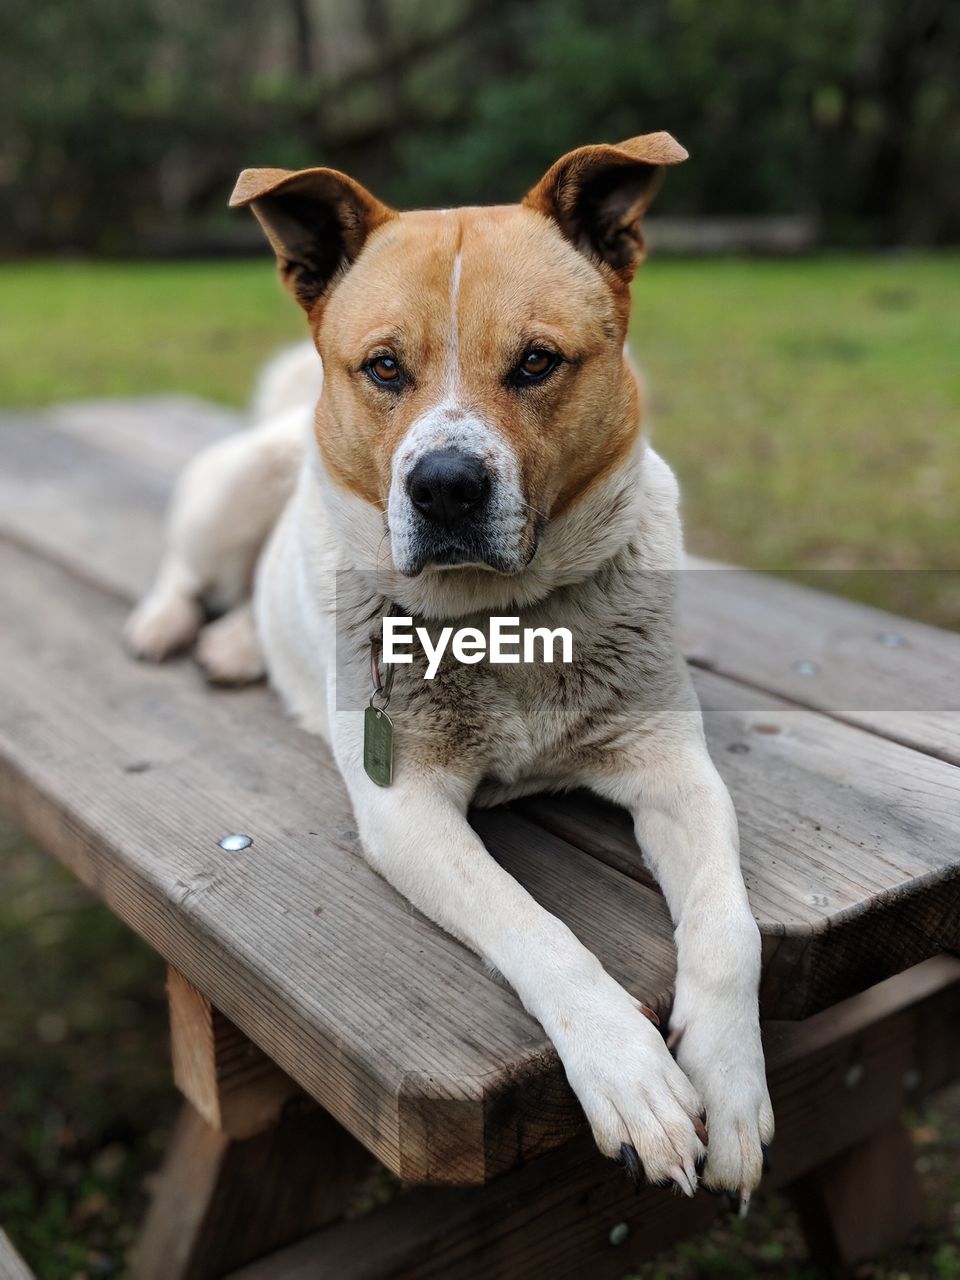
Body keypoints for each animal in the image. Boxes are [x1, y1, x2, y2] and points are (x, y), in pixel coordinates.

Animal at [126, 135, 773, 1203]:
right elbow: (540, 932)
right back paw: (173, 628)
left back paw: (235, 645)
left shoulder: (674, 766)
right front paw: (631, 1077)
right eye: (384, 366)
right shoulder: (408, 812)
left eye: (538, 362)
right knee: (188, 568)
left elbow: (730, 930)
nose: (443, 486)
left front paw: (731, 1085)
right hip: (238, 485)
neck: (498, 621)